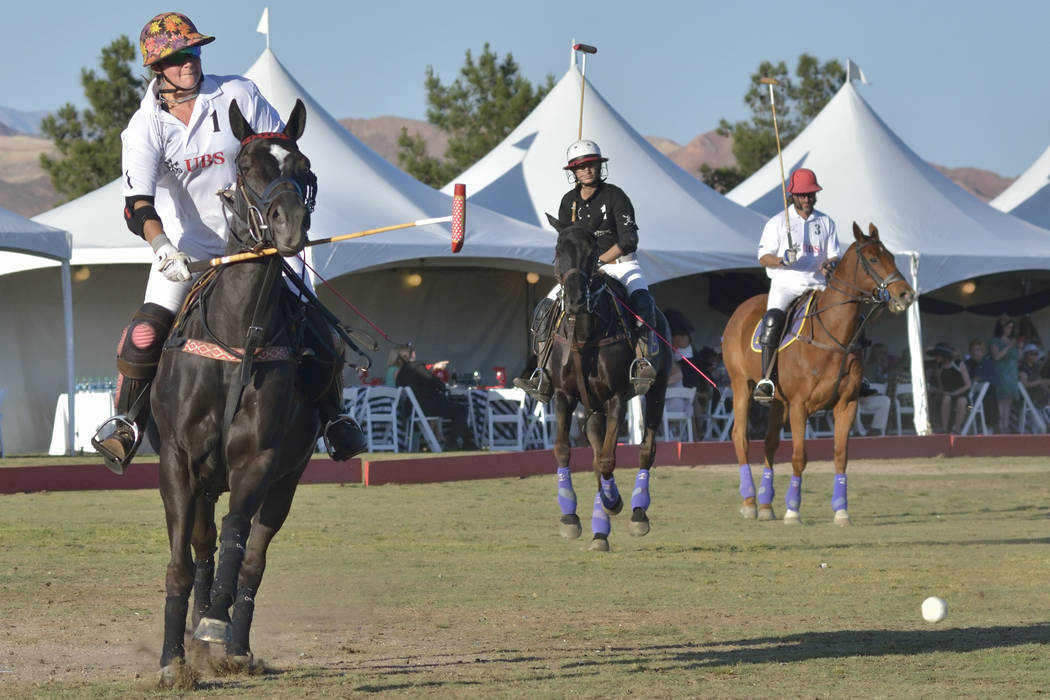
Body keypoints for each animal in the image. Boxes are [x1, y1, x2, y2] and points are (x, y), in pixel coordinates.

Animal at [546, 217, 667, 554]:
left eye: (592, 252)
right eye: (559, 249)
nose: (575, 300)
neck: (585, 335)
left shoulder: (616, 398)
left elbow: (609, 458)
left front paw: (614, 502)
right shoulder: (564, 396)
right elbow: (564, 450)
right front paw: (570, 518)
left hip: (657, 390)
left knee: (645, 449)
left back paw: (636, 513)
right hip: (592, 407)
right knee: (595, 449)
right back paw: (600, 531)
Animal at [722, 223, 911, 524]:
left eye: (891, 256)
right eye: (872, 259)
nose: (906, 294)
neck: (833, 336)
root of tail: (741, 308)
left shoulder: (847, 404)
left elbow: (841, 455)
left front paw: (841, 511)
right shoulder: (800, 405)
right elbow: (799, 456)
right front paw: (792, 510)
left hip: (778, 401)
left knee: (770, 443)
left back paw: (765, 505)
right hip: (741, 384)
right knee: (741, 437)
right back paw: (750, 502)